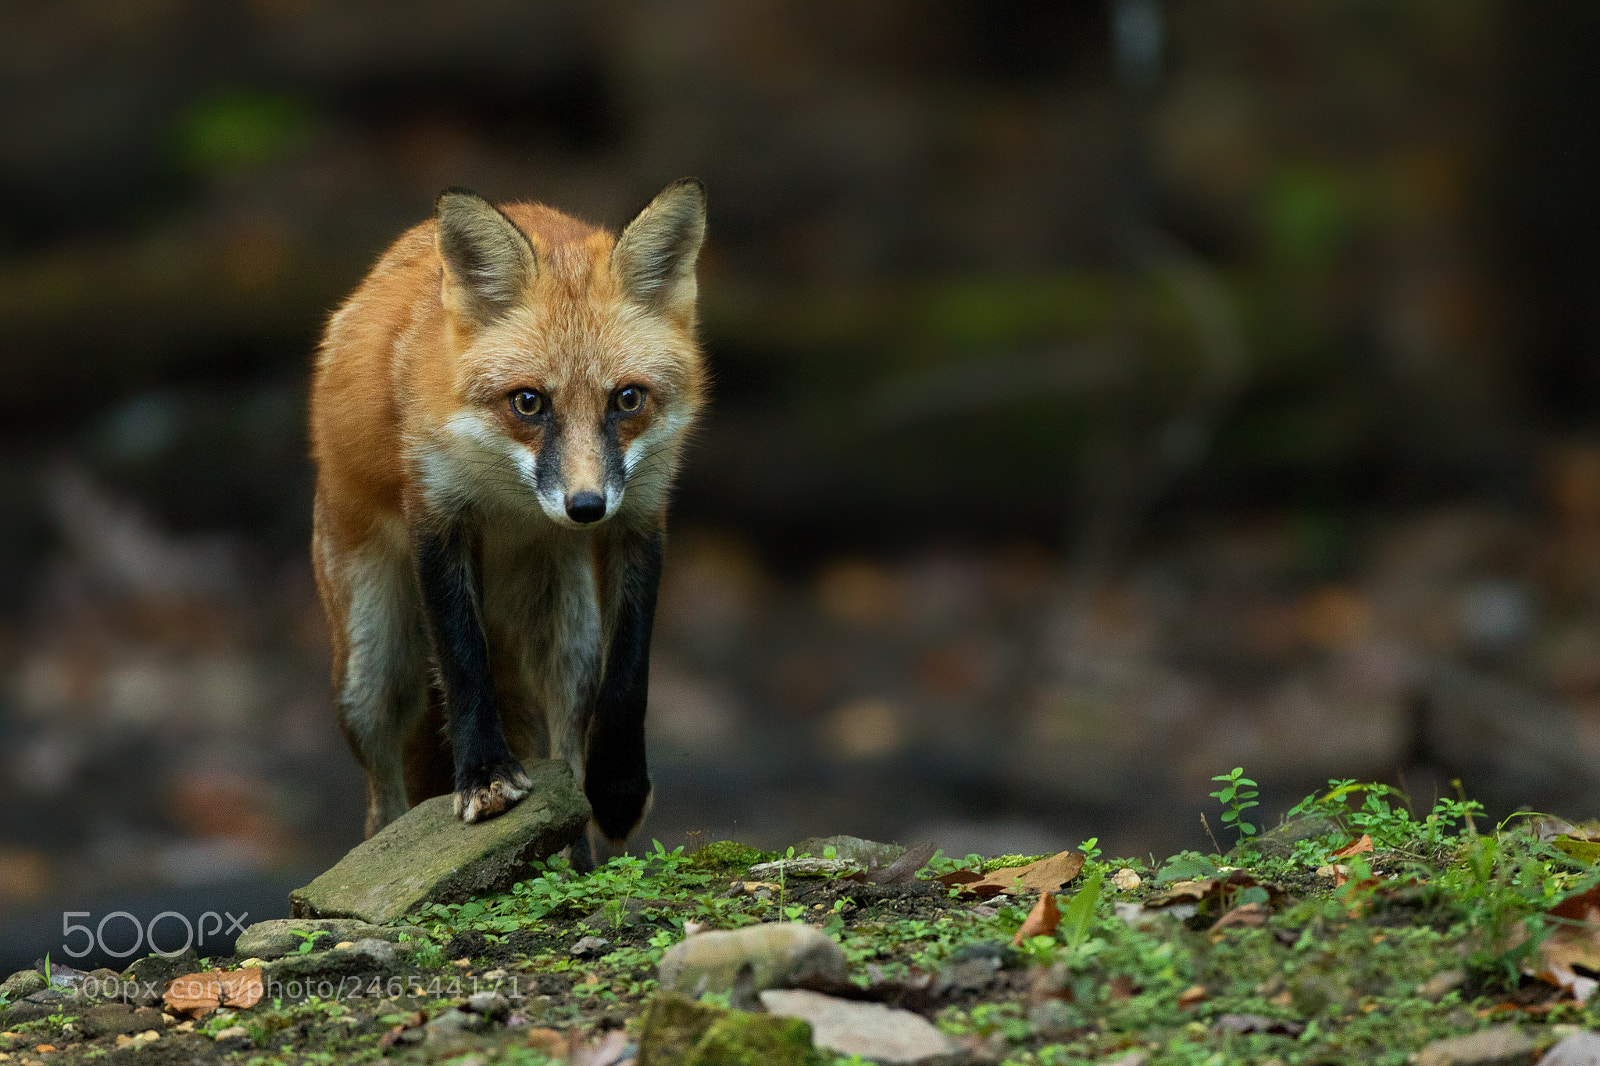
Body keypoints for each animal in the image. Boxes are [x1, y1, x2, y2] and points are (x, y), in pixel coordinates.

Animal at [308, 179, 706, 867]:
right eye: (529, 402)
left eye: (627, 399)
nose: (584, 507)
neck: (512, 504)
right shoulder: (437, 515)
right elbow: (465, 662)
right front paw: (486, 777)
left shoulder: (640, 515)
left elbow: (629, 675)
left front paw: (620, 789)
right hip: (373, 669)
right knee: (382, 794)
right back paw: (387, 850)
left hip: (568, 634)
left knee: (566, 736)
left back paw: (576, 858)